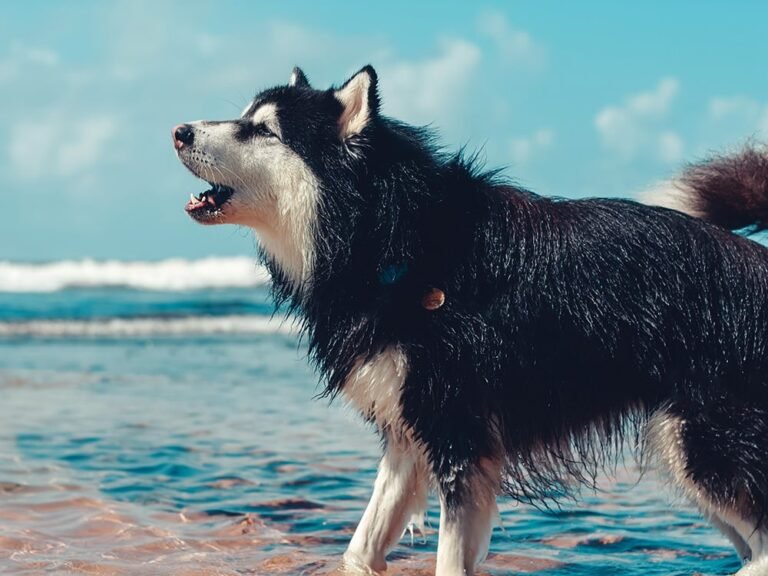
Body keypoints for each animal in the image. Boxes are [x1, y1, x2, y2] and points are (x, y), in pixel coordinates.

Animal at [174, 65, 768, 572]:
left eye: (263, 131)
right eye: (245, 117)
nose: (178, 131)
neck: (392, 241)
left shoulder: (459, 434)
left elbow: (448, 555)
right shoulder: (409, 432)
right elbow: (361, 546)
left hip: (699, 442)